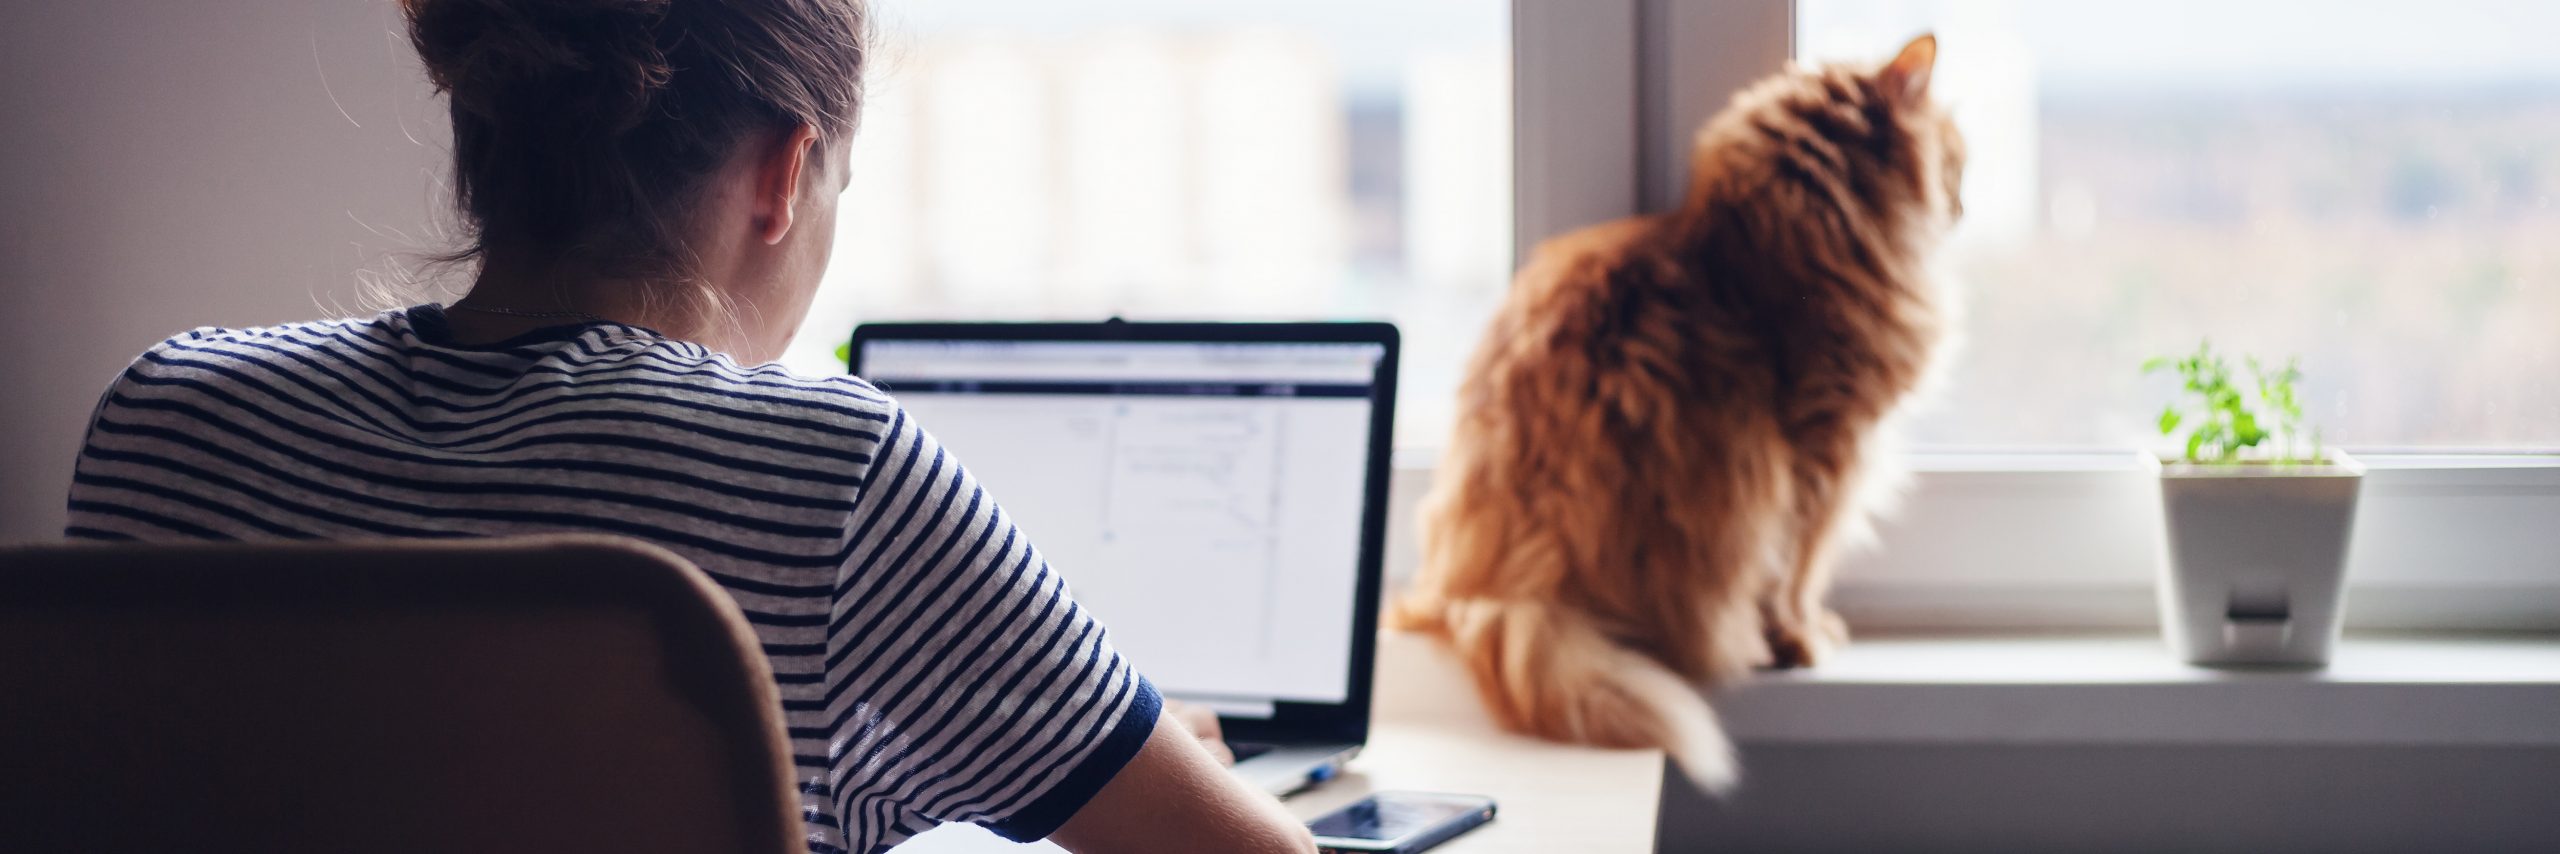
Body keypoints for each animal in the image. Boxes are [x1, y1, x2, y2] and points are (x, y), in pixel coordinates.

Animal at [1382, 33, 1955, 792]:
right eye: (1956, 151)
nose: (1963, 195)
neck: (1771, 241)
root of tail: (1492, 589)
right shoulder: (1824, 453)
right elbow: (1799, 571)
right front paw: (1802, 638)